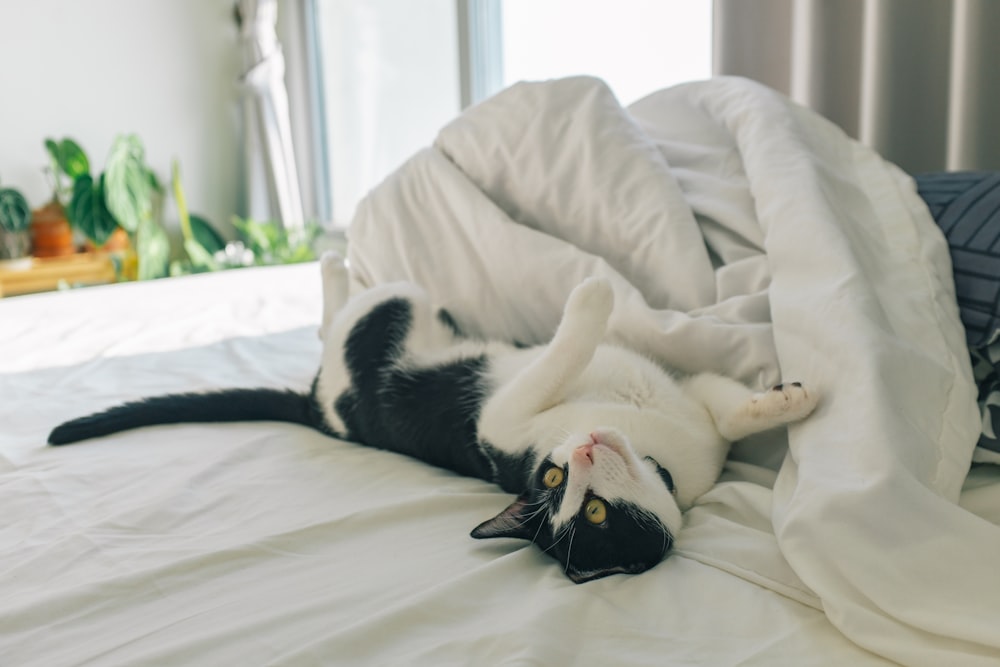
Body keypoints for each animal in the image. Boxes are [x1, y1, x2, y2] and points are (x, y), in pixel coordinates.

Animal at [48, 253, 820, 580]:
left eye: (592, 512)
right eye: (550, 480)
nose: (580, 451)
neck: (654, 443)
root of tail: (318, 409)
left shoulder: (694, 421)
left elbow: (724, 410)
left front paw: (785, 400)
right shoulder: (501, 426)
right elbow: (568, 354)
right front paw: (594, 299)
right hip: (392, 314)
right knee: (350, 312)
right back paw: (331, 258)